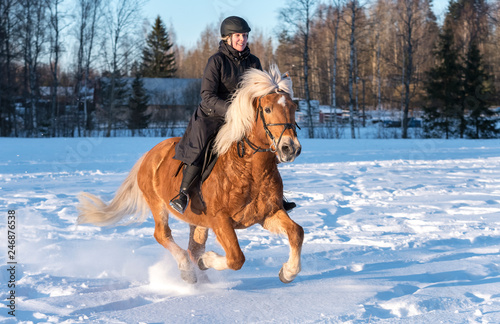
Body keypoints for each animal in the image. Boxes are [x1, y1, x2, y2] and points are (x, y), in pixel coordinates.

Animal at [77, 65, 304, 284]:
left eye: (293, 108)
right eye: (267, 109)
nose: (290, 148)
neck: (249, 171)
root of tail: (149, 155)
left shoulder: (268, 214)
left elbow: (296, 232)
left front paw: (288, 272)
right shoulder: (220, 220)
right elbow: (236, 258)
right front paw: (208, 260)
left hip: (198, 221)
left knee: (192, 247)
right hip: (158, 204)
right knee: (163, 235)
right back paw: (187, 271)